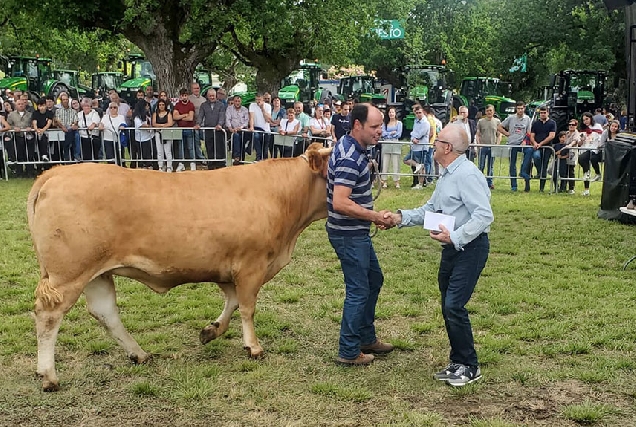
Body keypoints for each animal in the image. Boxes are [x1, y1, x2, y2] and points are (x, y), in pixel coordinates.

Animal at [26, 143, 330, 392]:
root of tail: (58, 173)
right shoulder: (251, 266)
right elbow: (247, 307)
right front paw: (253, 347)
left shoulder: (229, 269)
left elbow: (231, 303)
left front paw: (211, 331)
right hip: (69, 274)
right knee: (49, 315)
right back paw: (48, 375)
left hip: (96, 274)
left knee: (105, 312)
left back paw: (139, 354)